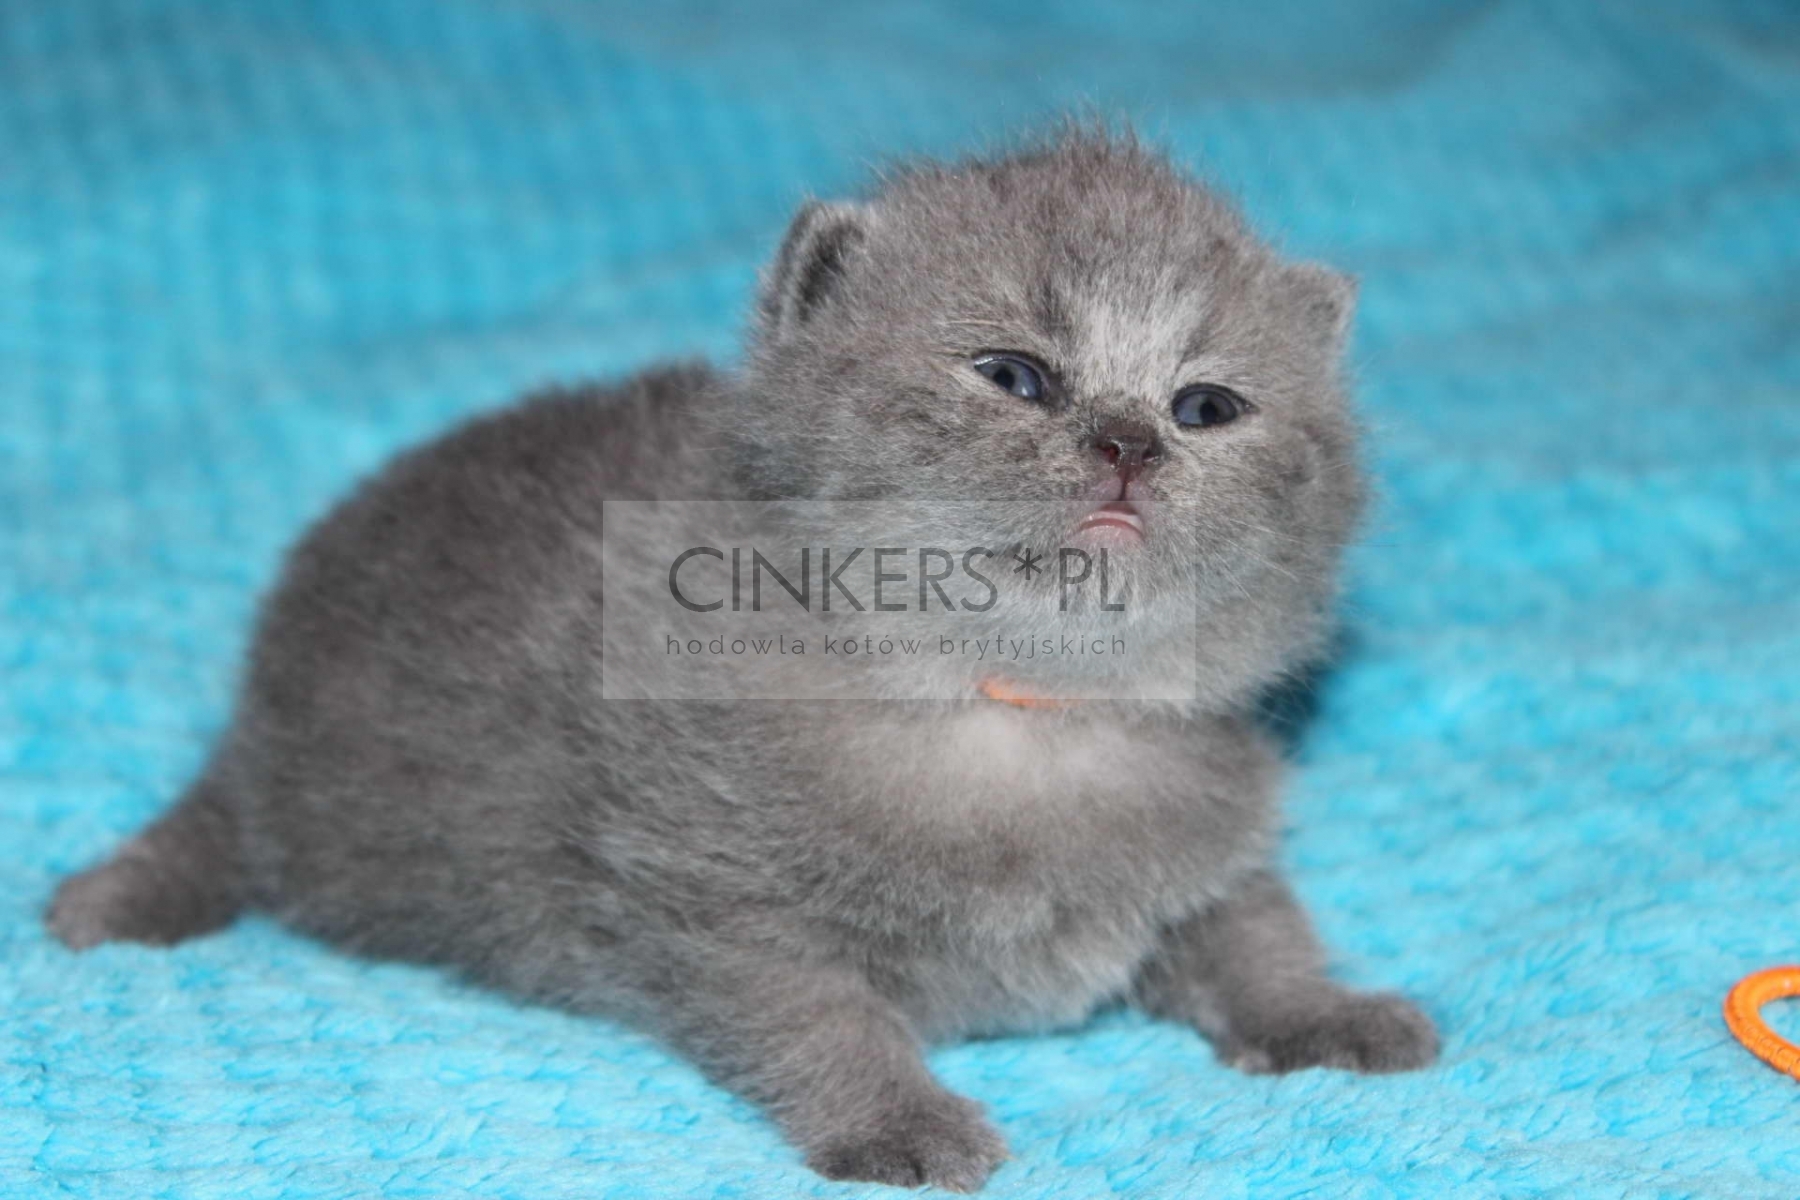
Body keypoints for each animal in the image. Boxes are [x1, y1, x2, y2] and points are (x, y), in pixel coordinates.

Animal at [48, 130, 1437, 1192]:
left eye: (1206, 407)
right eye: (1014, 375)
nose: (1129, 444)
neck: (1020, 705)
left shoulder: (1212, 844)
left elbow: (1260, 934)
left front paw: (1323, 1013)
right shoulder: (715, 895)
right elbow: (817, 1017)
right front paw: (898, 1121)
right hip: (296, 795)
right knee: (224, 831)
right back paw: (115, 901)